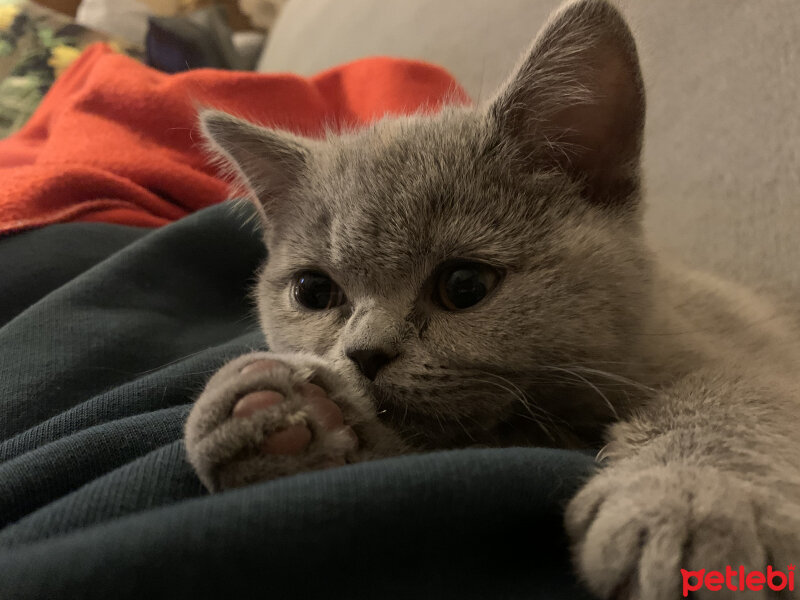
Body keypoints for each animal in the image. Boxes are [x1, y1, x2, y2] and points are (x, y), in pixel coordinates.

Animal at [183, 2, 800, 596]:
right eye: (314, 291)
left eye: (465, 286)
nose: (364, 354)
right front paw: (291, 420)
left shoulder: (750, 346)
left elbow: (725, 391)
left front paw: (689, 500)